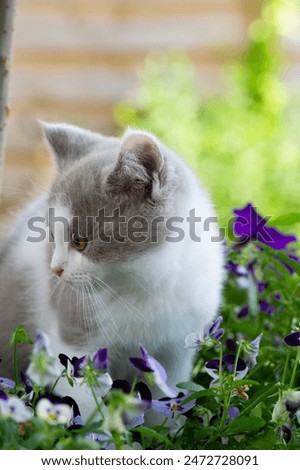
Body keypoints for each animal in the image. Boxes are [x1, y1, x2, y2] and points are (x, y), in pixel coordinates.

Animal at [0, 123, 225, 416]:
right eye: (51, 236)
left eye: (80, 241)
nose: (55, 269)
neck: (144, 285)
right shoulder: (75, 337)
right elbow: (83, 401)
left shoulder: (176, 352)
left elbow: (163, 399)